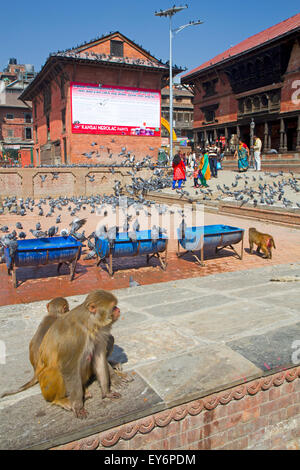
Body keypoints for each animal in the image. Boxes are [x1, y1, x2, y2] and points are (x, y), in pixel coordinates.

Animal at [35, 290, 131, 418]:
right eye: (113, 307)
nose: (119, 309)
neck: (89, 323)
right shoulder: (75, 336)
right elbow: (68, 368)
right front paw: (78, 406)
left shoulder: (98, 334)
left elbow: (99, 359)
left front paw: (107, 392)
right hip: (45, 385)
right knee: (57, 369)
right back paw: (60, 399)